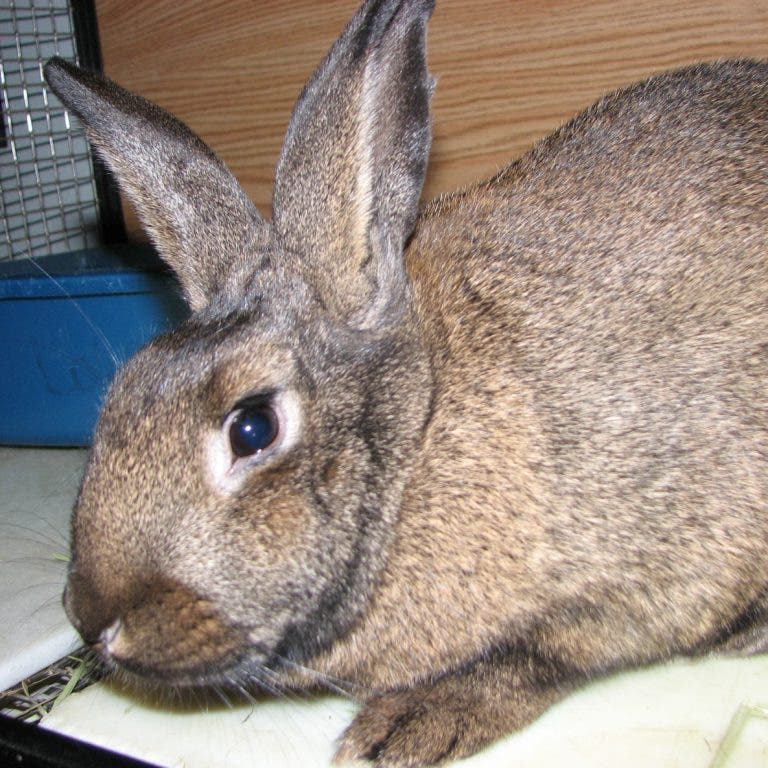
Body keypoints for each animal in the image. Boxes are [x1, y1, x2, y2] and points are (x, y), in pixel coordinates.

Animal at [43, 0, 768, 765]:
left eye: (253, 427)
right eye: (122, 390)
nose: (90, 619)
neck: (421, 431)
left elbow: (529, 662)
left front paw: (402, 729)